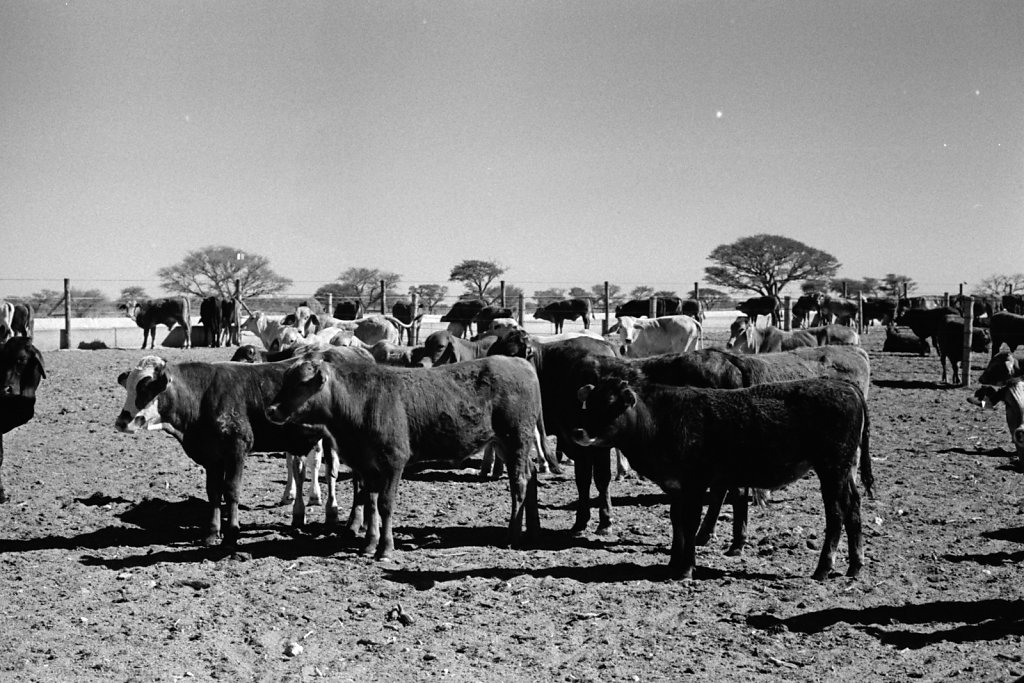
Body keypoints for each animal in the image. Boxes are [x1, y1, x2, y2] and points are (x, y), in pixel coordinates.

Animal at [114, 352, 362, 544]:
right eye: (129, 387)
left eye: (147, 387)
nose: (122, 422)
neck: (202, 395)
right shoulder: (212, 457)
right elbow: (214, 493)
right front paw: (212, 533)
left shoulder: (236, 450)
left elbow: (232, 490)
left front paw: (232, 532)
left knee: (334, 474)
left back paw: (339, 518)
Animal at [264, 352, 552, 561]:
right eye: (285, 381)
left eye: (301, 383)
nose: (271, 409)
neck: (361, 402)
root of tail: (519, 362)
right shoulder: (367, 466)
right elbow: (370, 503)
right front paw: (369, 544)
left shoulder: (393, 462)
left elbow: (385, 504)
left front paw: (385, 548)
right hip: (505, 444)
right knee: (531, 474)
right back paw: (534, 530)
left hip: (515, 440)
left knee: (519, 483)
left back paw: (512, 535)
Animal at [569, 376, 872, 581]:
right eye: (588, 402)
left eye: (610, 404)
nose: (578, 431)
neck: (659, 418)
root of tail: (845, 386)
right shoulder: (676, 487)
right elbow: (677, 522)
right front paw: (673, 563)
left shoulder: (694, 483)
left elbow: (690, 522)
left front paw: (686, 568)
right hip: (844, 470)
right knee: (853, 507)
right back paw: (854, 565)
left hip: (831, 469)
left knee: (836, 513)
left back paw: (824, 568)